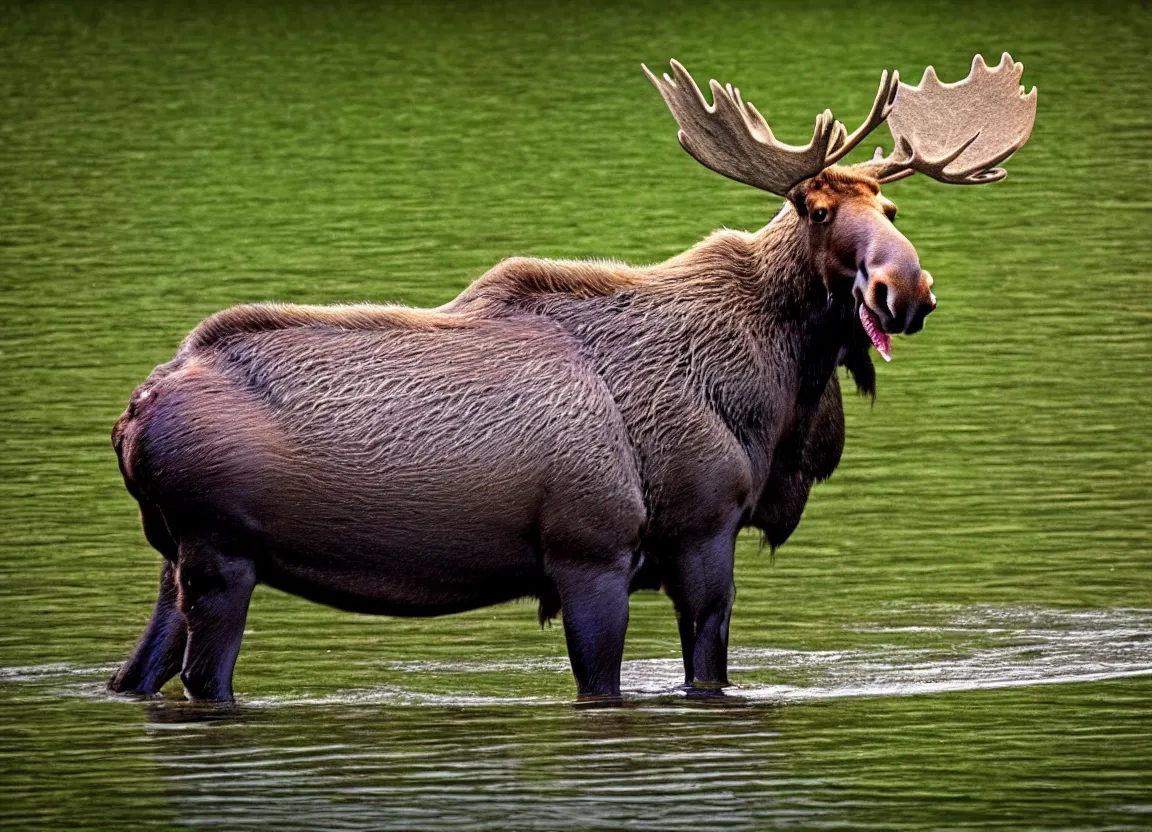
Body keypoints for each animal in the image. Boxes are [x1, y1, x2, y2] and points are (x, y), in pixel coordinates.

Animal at [108, 55, 1036, 696]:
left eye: (892, 209)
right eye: (815, 209)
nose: (905, 289)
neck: (772, 409)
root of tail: (132, 414)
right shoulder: (619, 546)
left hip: (174, 560)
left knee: (136, 678)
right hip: (222, 557)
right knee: (205, 682)